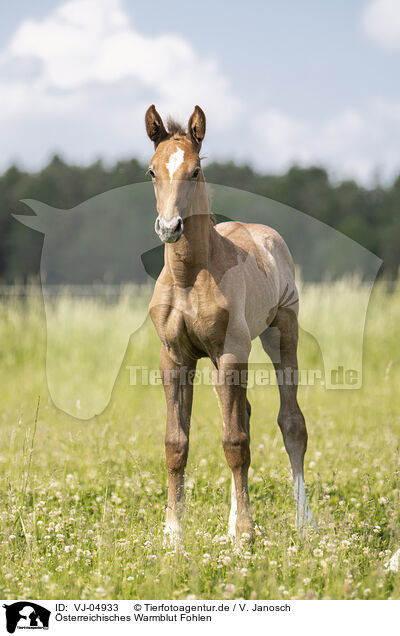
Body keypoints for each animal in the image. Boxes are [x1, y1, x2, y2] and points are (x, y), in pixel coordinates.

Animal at [145, 105, 314, 548]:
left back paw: (304, 522)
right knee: (244, 416)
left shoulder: (232, 353)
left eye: (195, 171)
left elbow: (236, 442)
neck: (189, 277)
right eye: (152, 171)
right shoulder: (175, 359)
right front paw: (173, 535)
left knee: (291, 423)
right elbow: (177, 442)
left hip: (281, 333)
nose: (169, 227)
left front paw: (245, 536)